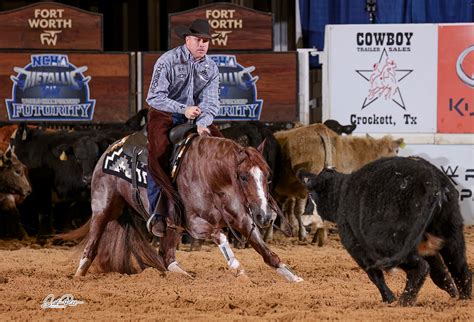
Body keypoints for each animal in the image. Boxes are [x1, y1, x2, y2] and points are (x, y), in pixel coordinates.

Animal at [75, 133, 304, 282]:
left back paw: (185, 277)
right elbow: (220, 235)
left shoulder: (243, 220)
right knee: (91, 245)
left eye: (268, 175)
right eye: (243, 176)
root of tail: (111, 149)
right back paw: (78, 276)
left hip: (170, 225)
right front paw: (238, 269)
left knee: (167, 256)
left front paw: (295, 278)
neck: (212, 178)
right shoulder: (195, 225)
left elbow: (267, 252)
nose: (264, 215)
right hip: (103, 208)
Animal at [298, 157, 472, 306]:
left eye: (310, 195)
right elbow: (440, 274)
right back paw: (463, 300)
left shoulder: (358, 249)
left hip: (385, 244)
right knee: (460, 269)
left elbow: (375, 276)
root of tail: (432, 182)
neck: (341, 196)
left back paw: (403, 302)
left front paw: (389, 299)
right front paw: (452, 293)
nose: (302, 218)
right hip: (452, 236)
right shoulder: (427, 250)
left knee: (420, 268)